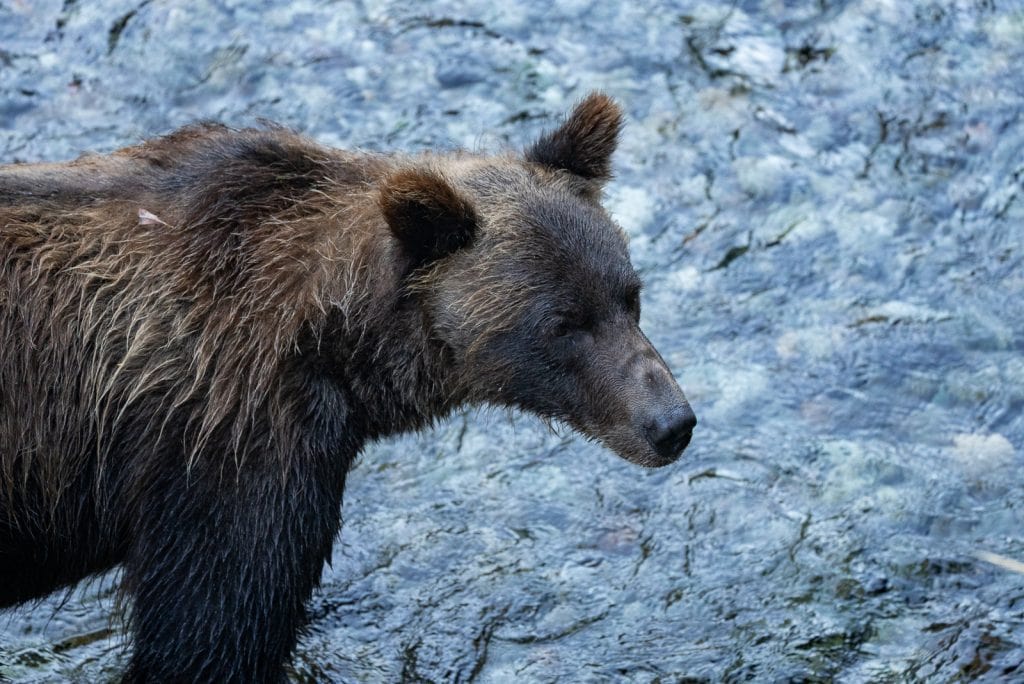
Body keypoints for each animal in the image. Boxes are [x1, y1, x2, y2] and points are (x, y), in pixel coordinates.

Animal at [0, 93, 696, 682]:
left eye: (629, 295)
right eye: (562, 323)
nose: (670, 422)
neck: (333, 341)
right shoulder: (226, 449)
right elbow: (210, 633)